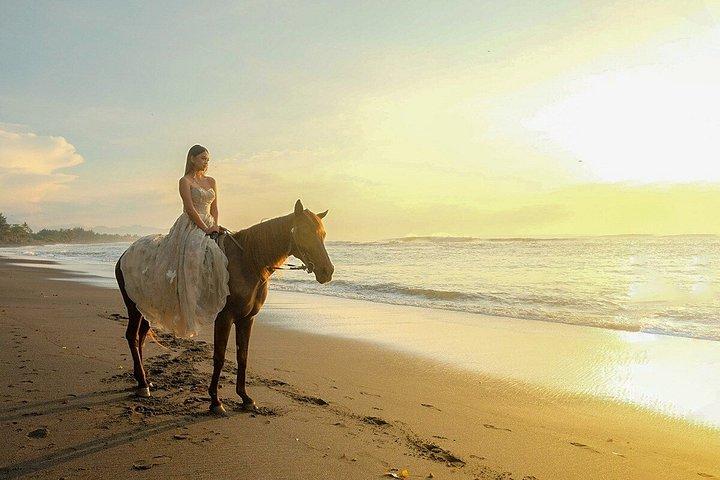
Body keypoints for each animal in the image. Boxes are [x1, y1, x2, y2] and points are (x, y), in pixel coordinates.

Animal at [114, 199, 334, 414]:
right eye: (304, 232)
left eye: (323, 234)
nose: (327, 271)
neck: (247, 262)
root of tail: (124, 255)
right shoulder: (224, 318)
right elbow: (219, 356)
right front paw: (215, 401)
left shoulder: (247, 319)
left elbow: (242, 356)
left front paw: (245, 398)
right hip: (134, 308)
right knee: (132, 336)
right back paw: (143, 384)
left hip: (148, 308)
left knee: (141, 336)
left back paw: (143, 380)